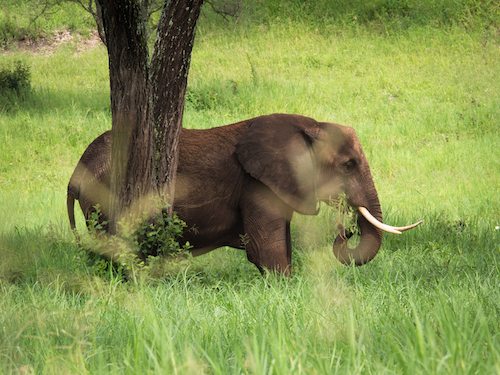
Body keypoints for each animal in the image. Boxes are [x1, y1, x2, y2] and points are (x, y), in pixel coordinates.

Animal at [65, 113, 418, 274]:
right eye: (348, 165)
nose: (346, 230)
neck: (309, 125)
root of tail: (75, 175)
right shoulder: (256, 184)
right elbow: (266, 249)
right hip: (104, 196)